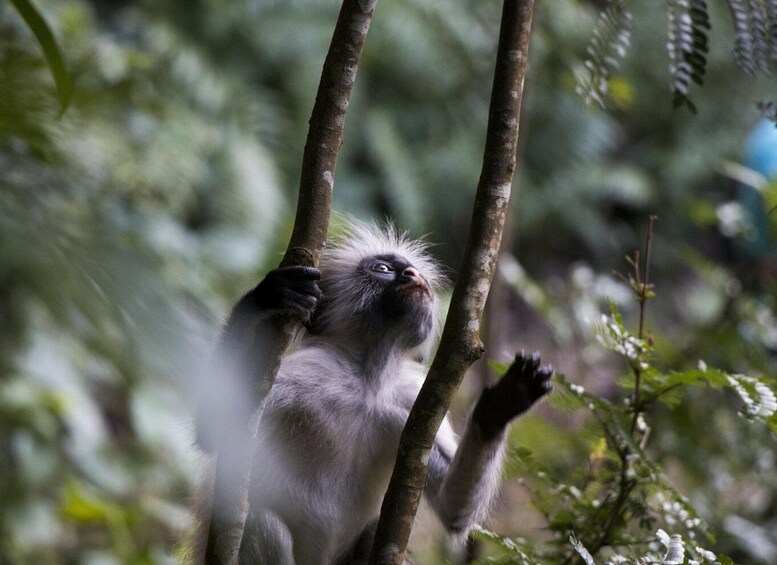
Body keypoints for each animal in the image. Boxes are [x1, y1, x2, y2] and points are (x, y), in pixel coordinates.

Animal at [197, 221, 552, 564]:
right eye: (382, 269)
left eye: (413, 271)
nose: (413, 275)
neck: (368, 383)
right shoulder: (306, 372)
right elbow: (213, 429)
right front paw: (267, 296)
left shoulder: (412, 397)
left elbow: (453, 510)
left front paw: (502, 405)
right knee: (262, 524)